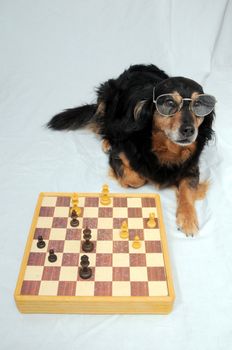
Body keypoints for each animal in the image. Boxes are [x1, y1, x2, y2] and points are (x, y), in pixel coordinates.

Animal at [47, 64, 216, 237]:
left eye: (199, 105)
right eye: (169, 103)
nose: (189, 130)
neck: (166, 147)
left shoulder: (192, 167)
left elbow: (188, 190)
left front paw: (188, 219)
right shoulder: (119, 153)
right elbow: (136, 179)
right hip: (106, 96)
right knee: (103, 125)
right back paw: (107, 141)